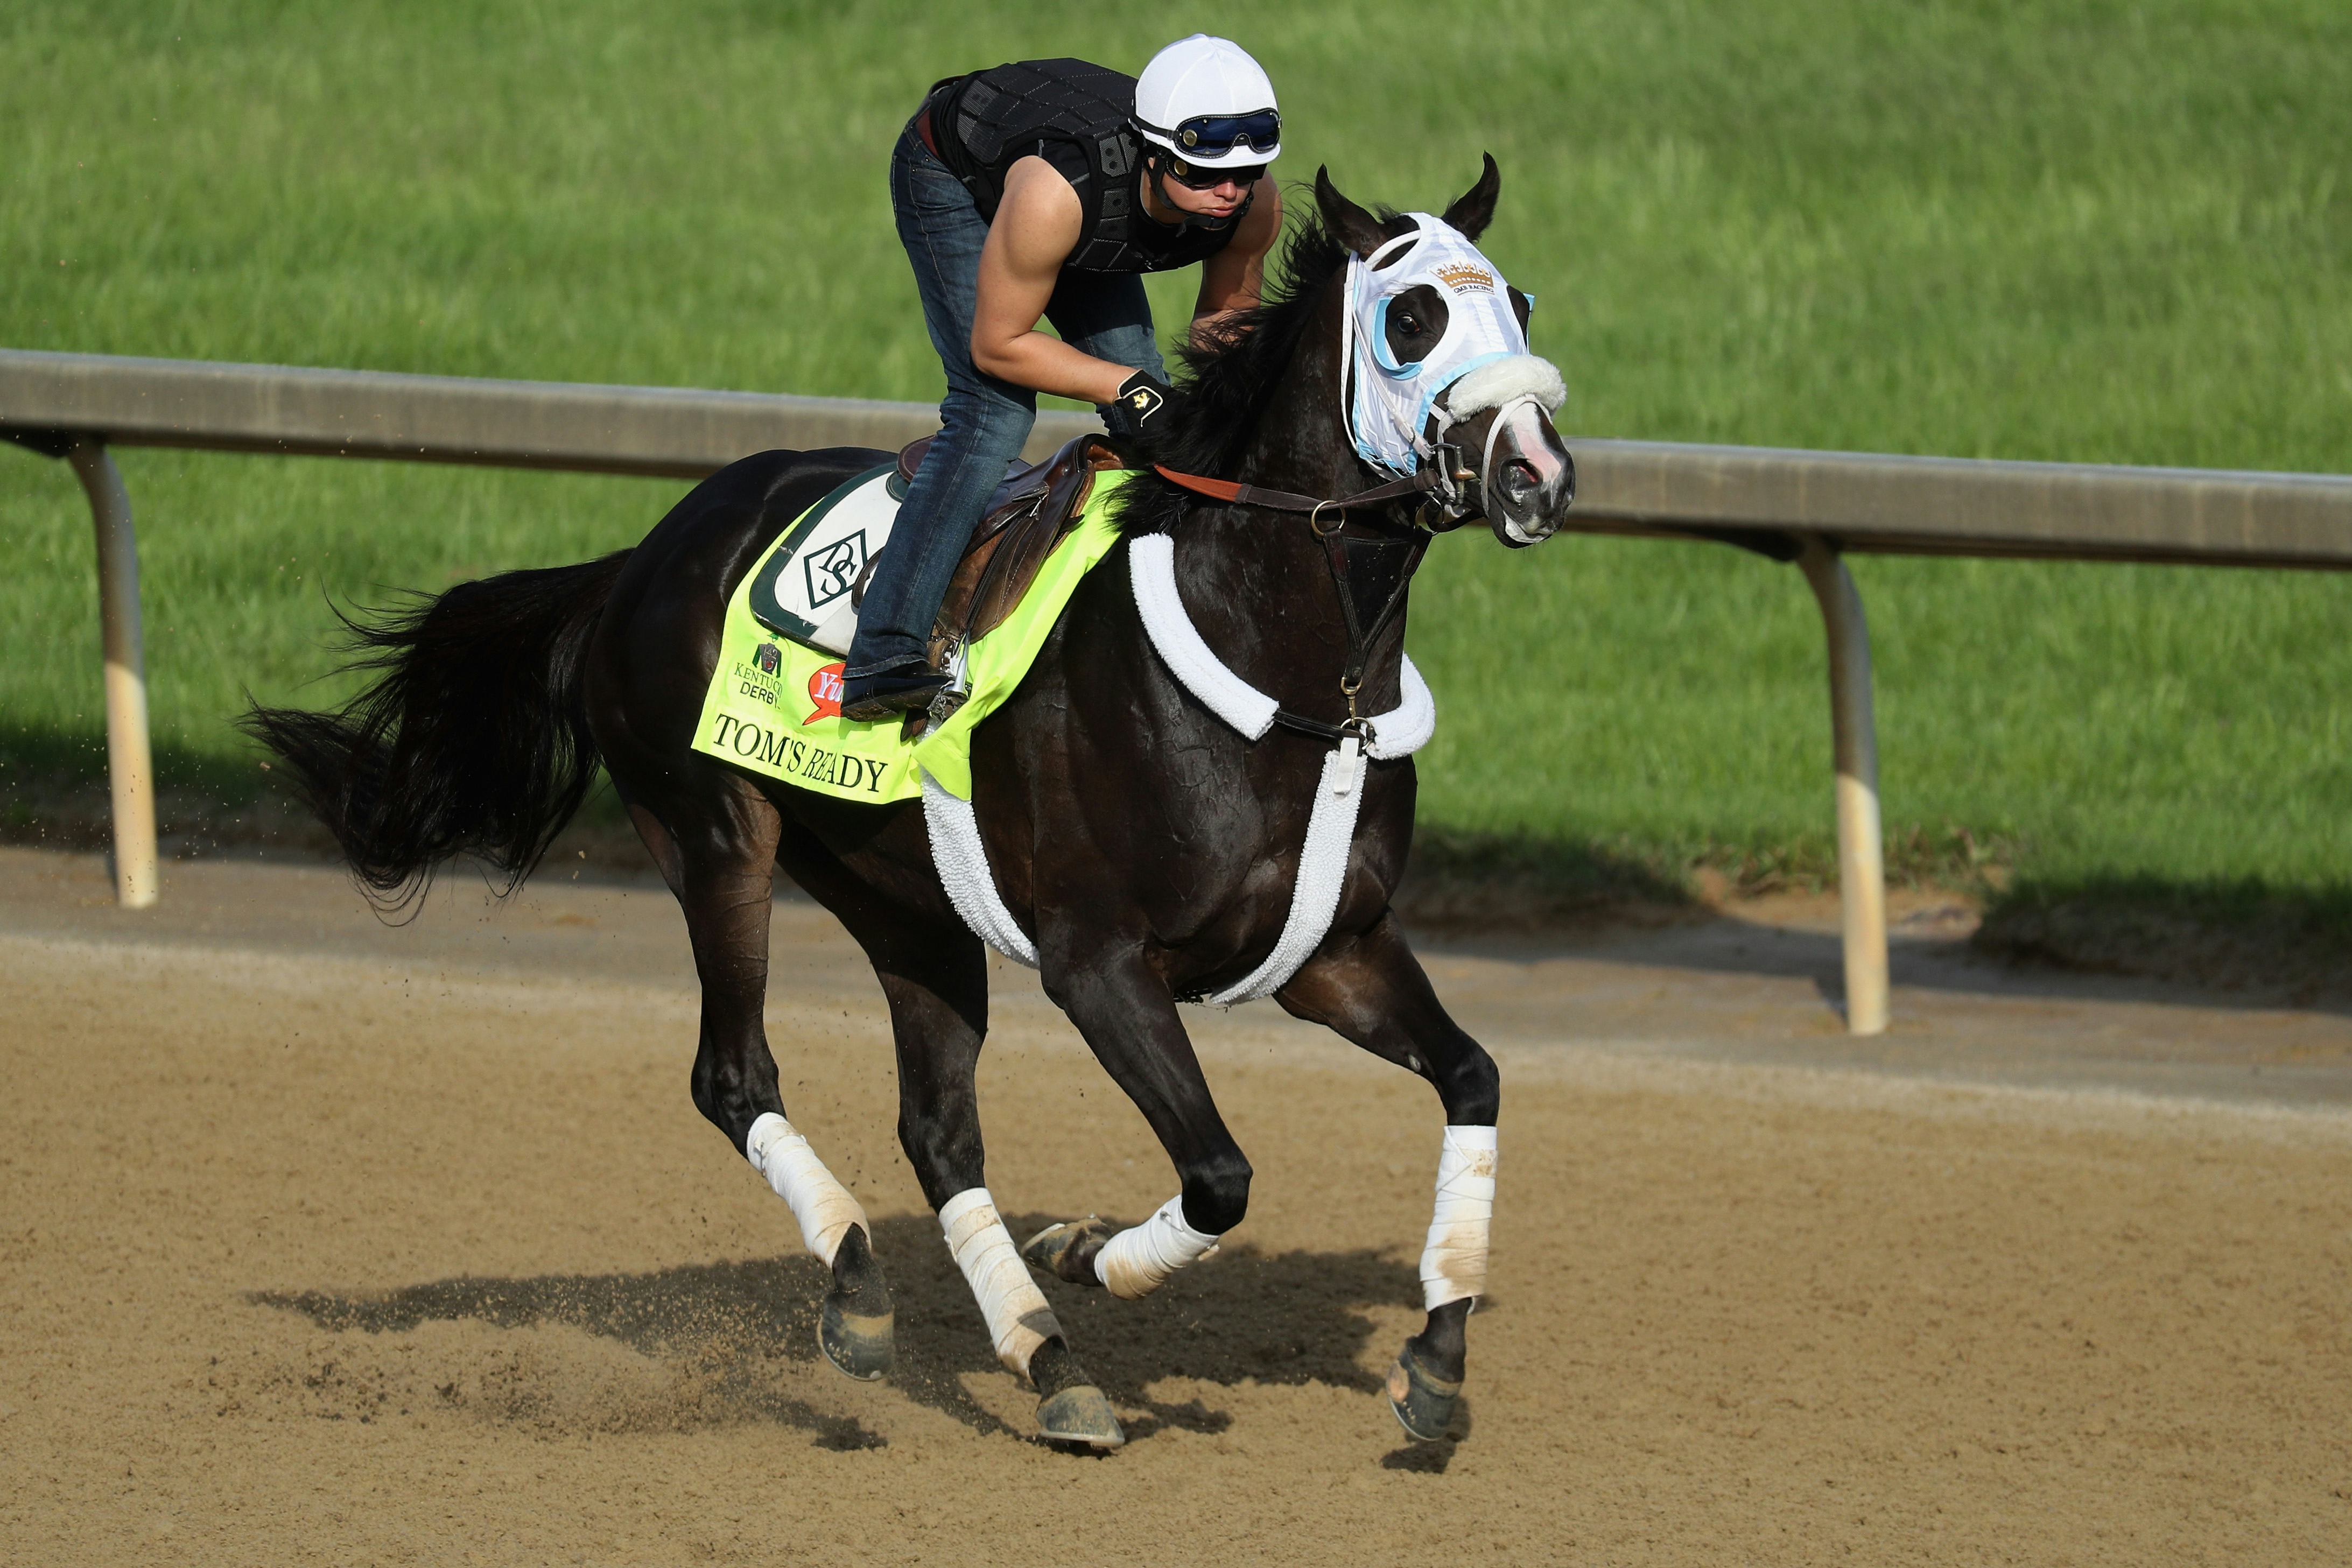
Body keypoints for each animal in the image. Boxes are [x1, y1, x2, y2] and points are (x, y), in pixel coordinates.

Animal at [244, 159, 1576, 1451]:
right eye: (1411, 317)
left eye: (1520, 302)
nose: (1539, 475)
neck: (1283, 674)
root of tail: (638, 560)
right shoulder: (1098, 962)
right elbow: (1219, 1172)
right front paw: (1089, 1249)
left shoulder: (1333, 949)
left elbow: (1473, 1080)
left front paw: (1433, 1363)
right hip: (715, 835)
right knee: (734, 1077)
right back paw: (860, 1289)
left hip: (908, 905)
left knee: (937, 1129)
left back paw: (1047, 1364)